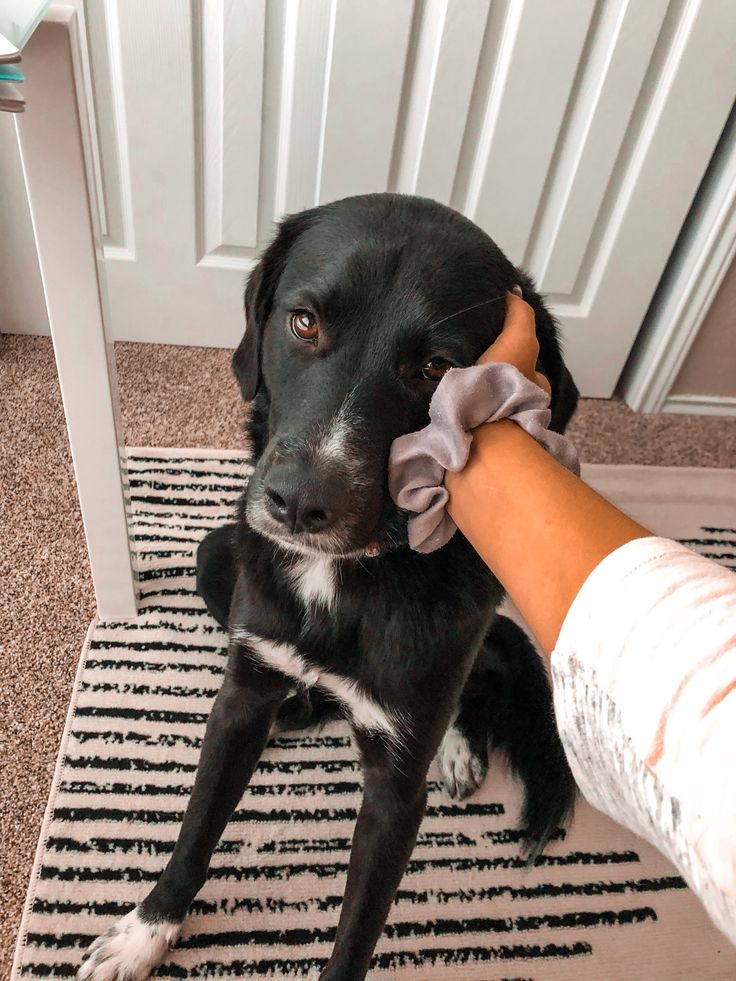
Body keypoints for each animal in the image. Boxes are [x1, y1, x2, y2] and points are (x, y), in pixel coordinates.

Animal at [77, 193, 576, 980]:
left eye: (437, 367)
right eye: (305, 322)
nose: (297, 503)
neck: (344, 573)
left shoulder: (395, 798)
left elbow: (355, 937)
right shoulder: (239, 698)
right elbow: (194, 833)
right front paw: (143, 933)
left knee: (478, 676)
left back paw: (456, 745)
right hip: (216, 558)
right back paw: (305, 704)